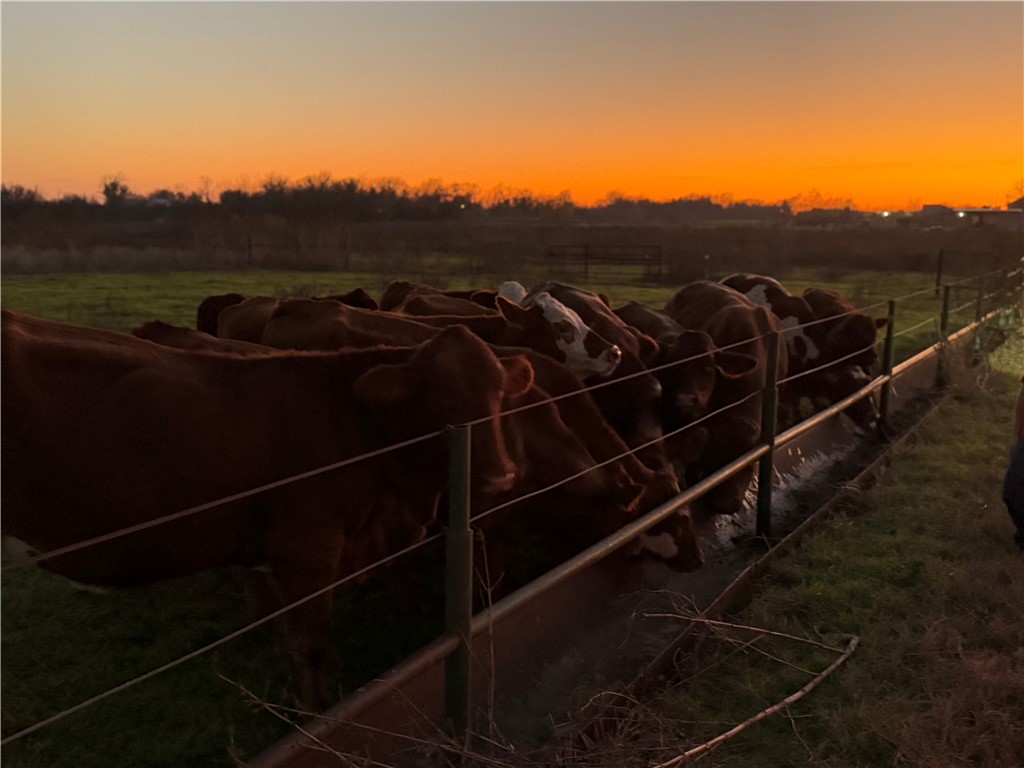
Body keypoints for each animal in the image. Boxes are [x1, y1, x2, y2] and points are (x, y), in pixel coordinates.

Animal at [4, 311, 536, 708]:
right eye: (440, 396)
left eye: (497, 394)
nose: (501, 477)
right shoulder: (307, 551)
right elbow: (312, 647)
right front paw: (317, 715)